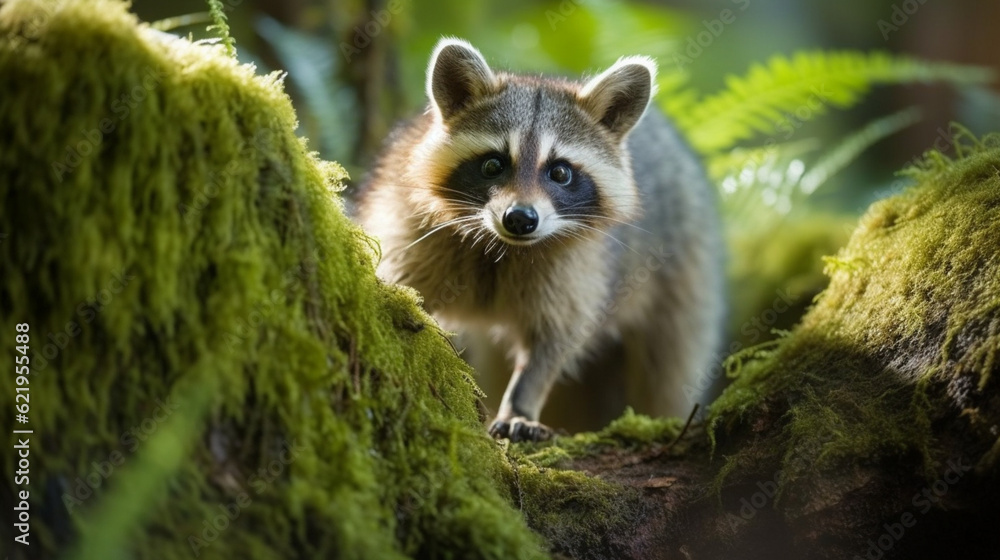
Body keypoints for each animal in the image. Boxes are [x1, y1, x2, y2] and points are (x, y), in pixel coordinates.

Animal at [358, 38, 725, 441]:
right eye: (493, 164)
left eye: (560, 172)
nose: (520, 219)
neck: (503, 246)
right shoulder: (408, 226)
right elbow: (401, 287)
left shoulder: (579, 268)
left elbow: (555, 339)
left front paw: (521, 402)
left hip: (687, 270)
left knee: (670, 366)